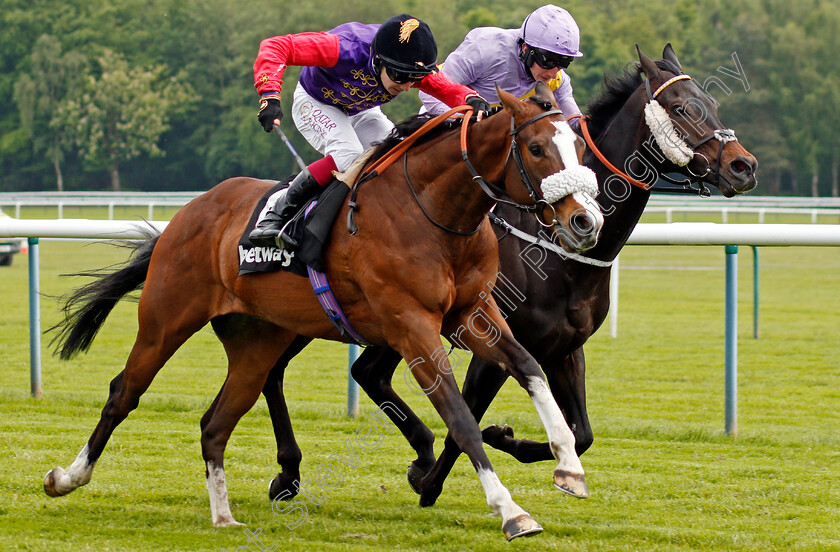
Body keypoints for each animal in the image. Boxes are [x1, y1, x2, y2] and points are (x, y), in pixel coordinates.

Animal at [44, 85, 604, 540]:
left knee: (216, 422)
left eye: (580, 148)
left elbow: (528, 368)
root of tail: (190, 212)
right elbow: (462, 420)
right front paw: (511, 511)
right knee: (124, 392)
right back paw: (68, 477)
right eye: (536, 148)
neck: (436, 214)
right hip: (166, 318)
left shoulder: (473, 312)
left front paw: (568, 466)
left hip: (256, 341)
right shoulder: (413, 328)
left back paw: (224, 517)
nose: (585, 221)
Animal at [253, 43, 756, 508]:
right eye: (682, 108)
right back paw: (291, 472)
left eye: (713, 105)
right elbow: (467, 421)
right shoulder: (487, 338)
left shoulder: (563, 348)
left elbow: (582, 432)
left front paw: (514, 450)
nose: (743, 166)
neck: (557, 252)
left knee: (363, 372)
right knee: (277, 371)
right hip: (311, 314)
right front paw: (440, 479)